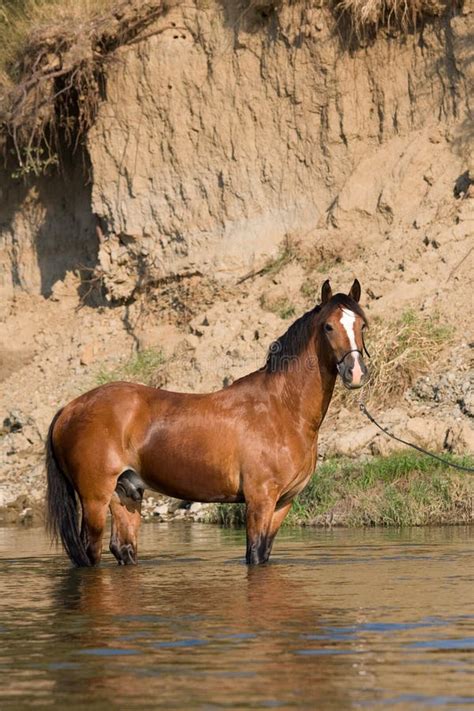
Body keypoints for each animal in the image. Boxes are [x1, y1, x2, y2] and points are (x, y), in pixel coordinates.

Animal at [45, 278, 370, 568]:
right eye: (328, 326)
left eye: (362, 325)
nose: (355, 373)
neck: (282, 409)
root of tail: (69, 408)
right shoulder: (260, 501)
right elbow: (254, 555)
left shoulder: (282, 504)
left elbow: (263, 554)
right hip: (94, 500)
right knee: (90, 554)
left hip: (125, 494)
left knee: (122, 548)